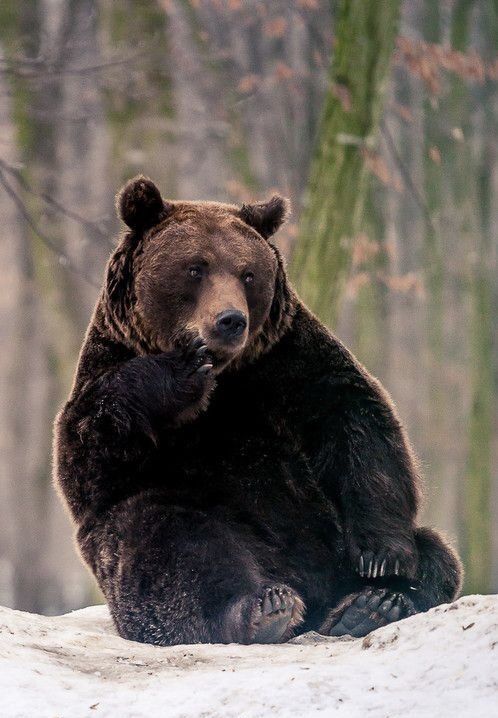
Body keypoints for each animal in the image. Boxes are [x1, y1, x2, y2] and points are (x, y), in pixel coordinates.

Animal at [52, 176, 462, 648]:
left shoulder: (286, 362)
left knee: (436, 554)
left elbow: (356, 420)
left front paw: (382, 557)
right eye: (196, 268)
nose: (230, 320)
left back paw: (373, 603)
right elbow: (91, 449)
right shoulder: (108, 366)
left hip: (330, 539)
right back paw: (265, 607)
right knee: (173, 546)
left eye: (248, 274)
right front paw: (182, 370)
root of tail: (315, 593)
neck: (229, 375)